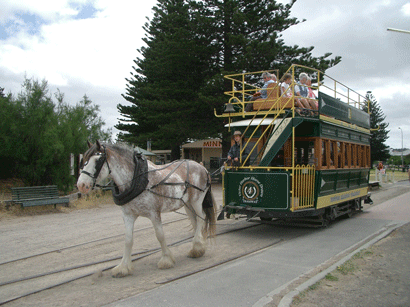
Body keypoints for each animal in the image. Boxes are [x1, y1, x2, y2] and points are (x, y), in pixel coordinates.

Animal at [77, 141, 218, 278]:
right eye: (84, 159)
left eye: (98, 160)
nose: (81, 185)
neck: (136, 179)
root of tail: (202, 167)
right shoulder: (128, 215)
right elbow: (128, 240)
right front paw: (123, 267)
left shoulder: (154, 213)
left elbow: (160, 235)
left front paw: (166, 260)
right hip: (187, 204)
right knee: (195, 222)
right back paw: (197, 249)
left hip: (197, 201)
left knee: (201, 219)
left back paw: (197, 246)